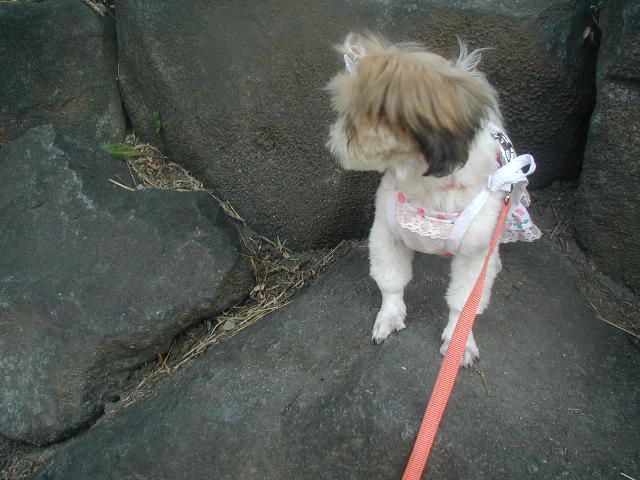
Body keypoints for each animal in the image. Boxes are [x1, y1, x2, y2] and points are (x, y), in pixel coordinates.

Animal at [326, 33, 540, 367]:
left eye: (350, 118)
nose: (333, 136)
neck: (431, 186)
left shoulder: (475, 254)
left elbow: (464, 304)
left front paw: (458, 342)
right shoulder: (386, 235)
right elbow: (391, 282)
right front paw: (389, 316)